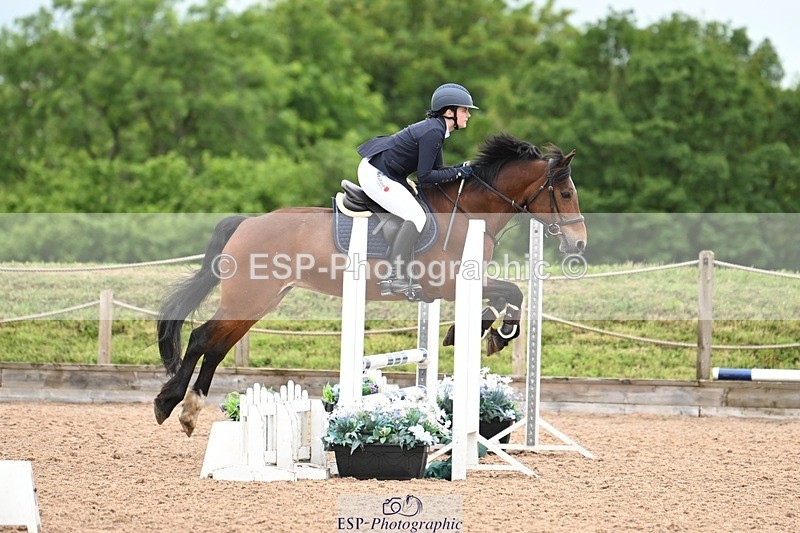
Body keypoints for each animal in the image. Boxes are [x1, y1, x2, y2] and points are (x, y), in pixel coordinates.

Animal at [154, 133, 587, 436]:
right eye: (566, 193)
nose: (578, 243)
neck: (467, 211)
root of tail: (245, 223)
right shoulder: (449, 283)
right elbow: (512, 292)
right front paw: (494, 333)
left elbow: (509, 294)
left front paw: (484, 332)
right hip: (248, 297)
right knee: (201, 338)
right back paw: (167, 404)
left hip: (259, 302)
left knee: (217, 345)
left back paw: (189, 412)